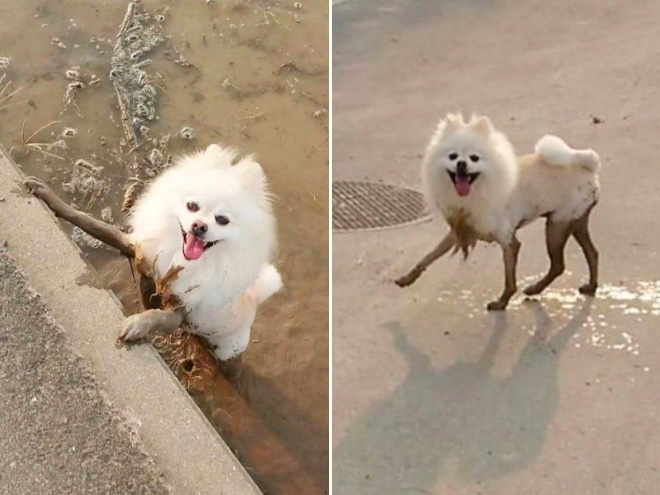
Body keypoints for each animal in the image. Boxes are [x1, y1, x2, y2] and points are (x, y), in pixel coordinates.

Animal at [394, 114, 600, 312]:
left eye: (474, 158)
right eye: (452, 156)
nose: (461, 163)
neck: (478, 188)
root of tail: (588, 166)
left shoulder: (509, 243)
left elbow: (509, 281)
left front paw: (502, 303)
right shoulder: (459, 231)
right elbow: (430, 255)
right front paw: (408, 278)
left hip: (557, 226)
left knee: (558, 265)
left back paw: (535, 288)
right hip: (574, 222)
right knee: (592, 253)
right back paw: (590, 286)